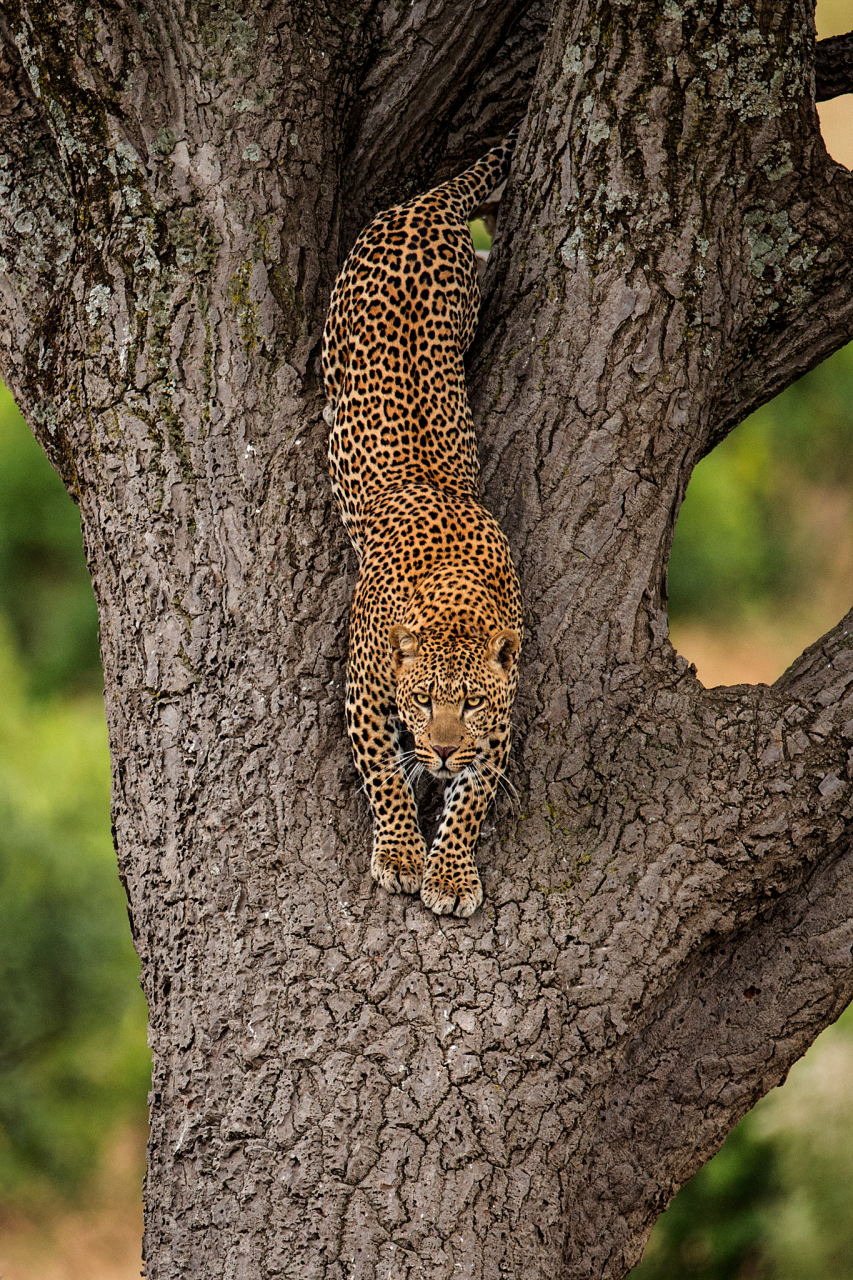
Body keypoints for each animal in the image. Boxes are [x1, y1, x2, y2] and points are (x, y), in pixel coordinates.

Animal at [322, 132, 522, 921]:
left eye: (467, 704)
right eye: (422, 699)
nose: (437, 750)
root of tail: (423, 207)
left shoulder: (497, 723)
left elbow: (469, 801)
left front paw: (451, 874)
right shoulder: (363, 691)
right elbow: (382, 773)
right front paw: (404, 855)